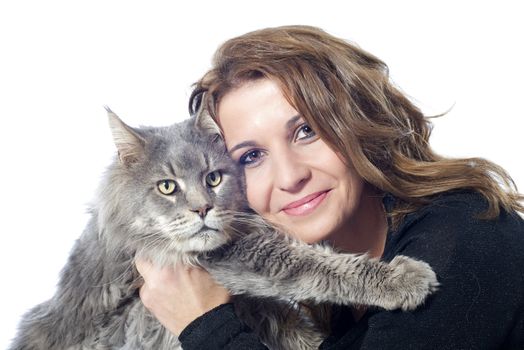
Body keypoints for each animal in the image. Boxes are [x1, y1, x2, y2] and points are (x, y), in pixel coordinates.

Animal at [10, 106, 440, 350]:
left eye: (213, 178)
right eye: (167, 187)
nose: (202, 208)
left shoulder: (246, 290)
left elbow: (283, 315)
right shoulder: (233, 260)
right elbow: (314, 265)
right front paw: (401, 279)